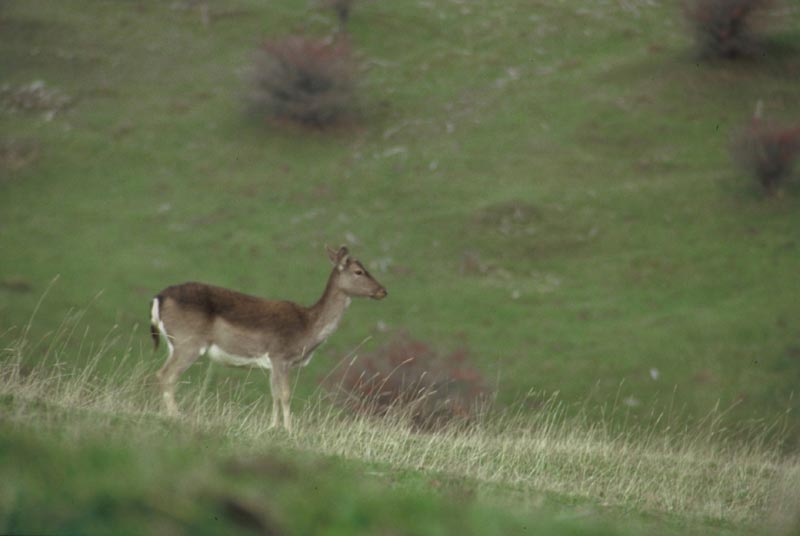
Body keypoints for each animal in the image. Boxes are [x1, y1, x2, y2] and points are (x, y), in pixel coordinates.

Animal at [152, 247, 390, 432]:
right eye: (359, 271)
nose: (383, 291)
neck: (308, 329)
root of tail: (159, 298)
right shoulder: (280, 355)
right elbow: (284, 394)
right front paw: (290, 430)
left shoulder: (274, 362)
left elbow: (274, 393)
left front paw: (273, 427)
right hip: (188, 342)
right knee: (166, 374)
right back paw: (175, 415)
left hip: (176, 343)